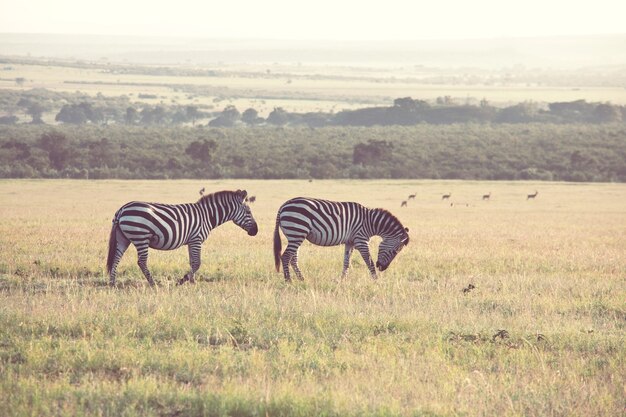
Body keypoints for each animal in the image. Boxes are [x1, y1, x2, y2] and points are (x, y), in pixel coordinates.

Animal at [106, 189, 258, 284]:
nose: (256, 231)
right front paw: (182, 280)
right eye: (248, 212)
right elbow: (197, 263)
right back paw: (153, 283)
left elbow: (192, 262)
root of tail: (122, 209)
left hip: (123, 238)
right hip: (141, 237)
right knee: (142, 262)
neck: (207, 216)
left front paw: (192, 281)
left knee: (116, 258)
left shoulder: (191, 241)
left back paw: (113, 283)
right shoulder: (197, 239)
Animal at [272, 197, 410, 282]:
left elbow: (346, 262)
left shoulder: (350, 242)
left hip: (296, 235)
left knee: (293, 259)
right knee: (286, 256)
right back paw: (289, 281)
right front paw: (375, 280)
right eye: (394, 252)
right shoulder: (361, 240)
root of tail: (283, 206)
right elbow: (369, 261)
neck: (370, 223)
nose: (382, 268)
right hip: (297, 231)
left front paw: (342, 280)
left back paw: (302, 279)